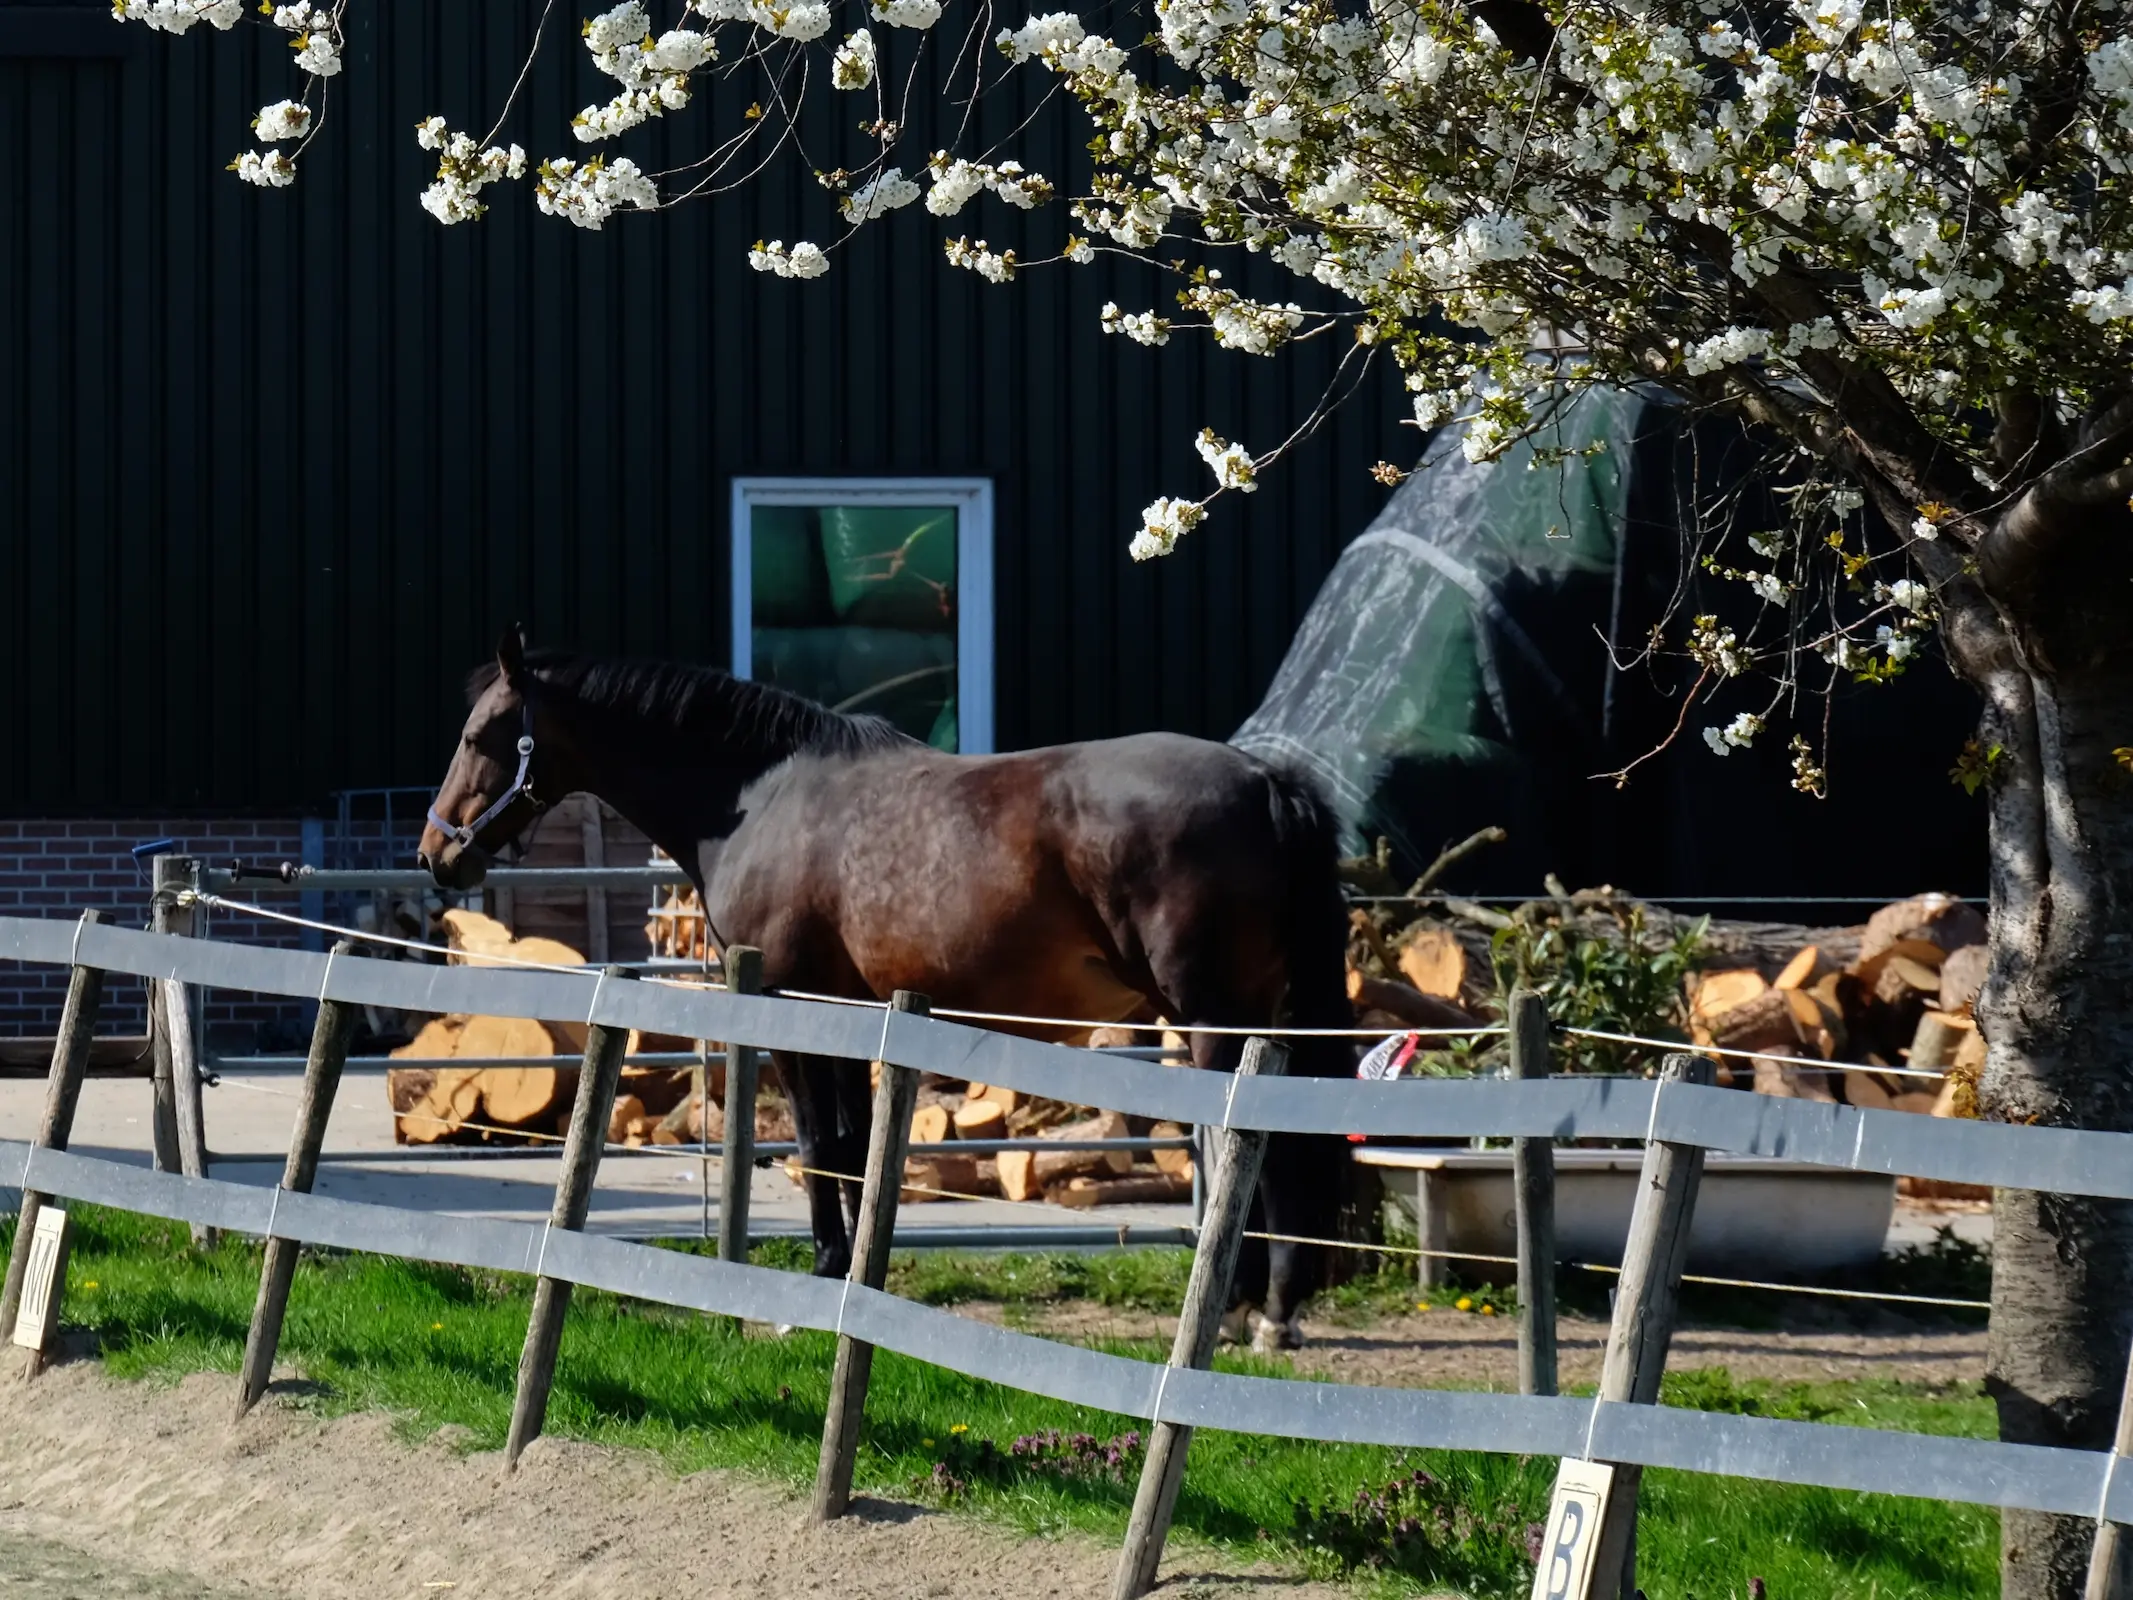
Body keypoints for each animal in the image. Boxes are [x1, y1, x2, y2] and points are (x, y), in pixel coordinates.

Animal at [415, 631, 1348, 1348]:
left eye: (482, 735)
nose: (436, 853)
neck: (760, 796)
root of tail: (1265, 782)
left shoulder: (792, 1005)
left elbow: (819, 1144)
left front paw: (824, 1275)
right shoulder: (856, 1013)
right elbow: (856, 1143)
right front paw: (861, 1273)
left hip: (1212, 1017)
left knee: (1251, 1148)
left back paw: (1239, 1309)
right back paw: (1274, 1309)